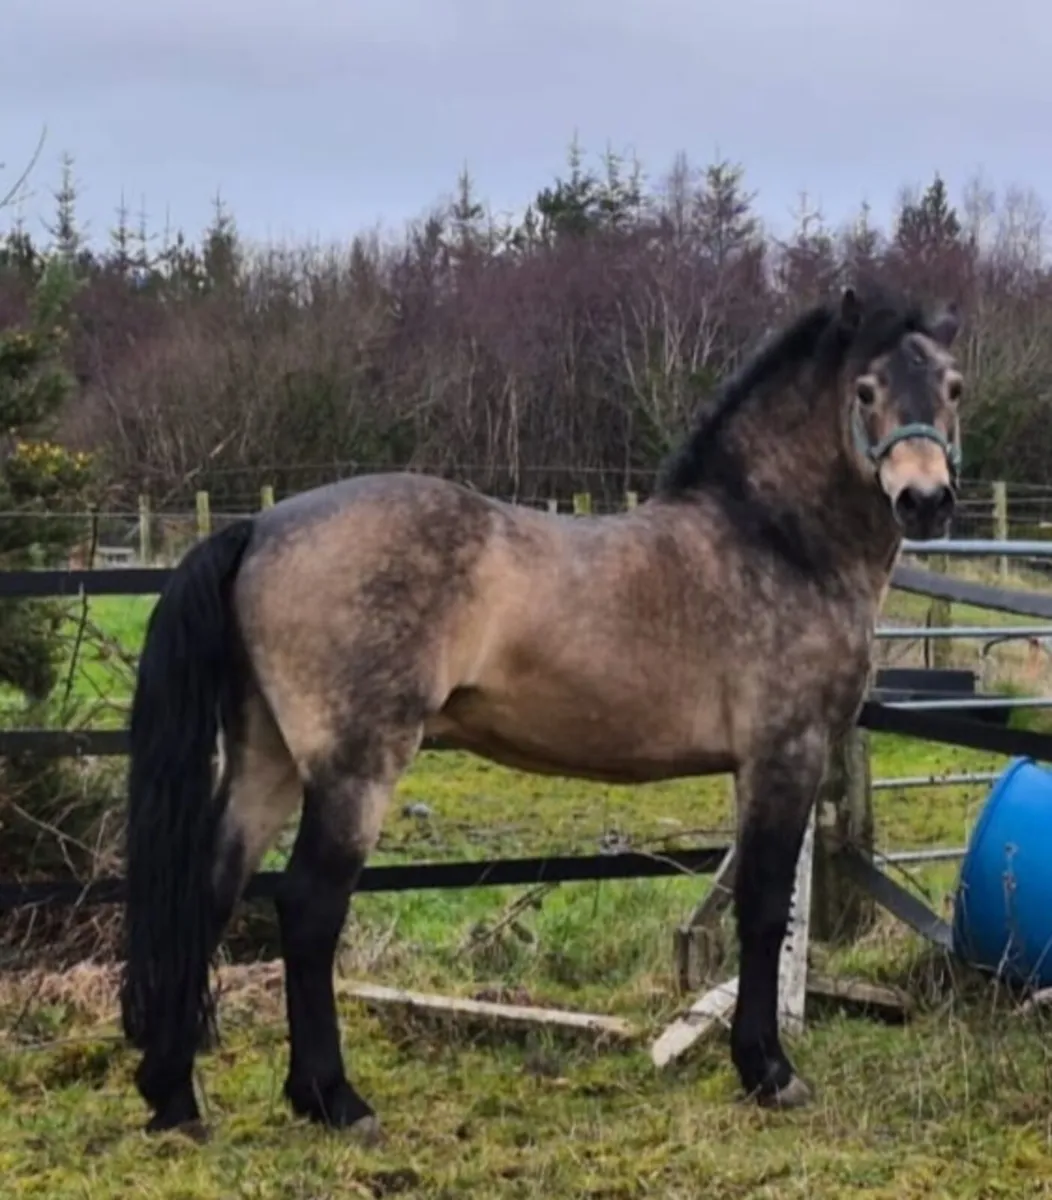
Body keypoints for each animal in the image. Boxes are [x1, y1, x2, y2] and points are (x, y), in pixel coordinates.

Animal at [119, 282, 964, 1140]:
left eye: (953, 388)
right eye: (866, 390)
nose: (926, 500)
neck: (773, 543)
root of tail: (260, 527)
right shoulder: (785, 755)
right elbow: (764, 912)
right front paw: (768, 1071)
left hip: (268, 759)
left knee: (210, 889)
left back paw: (174, 1095)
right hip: (354, 769)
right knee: (309, 907)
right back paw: (333, 1099)